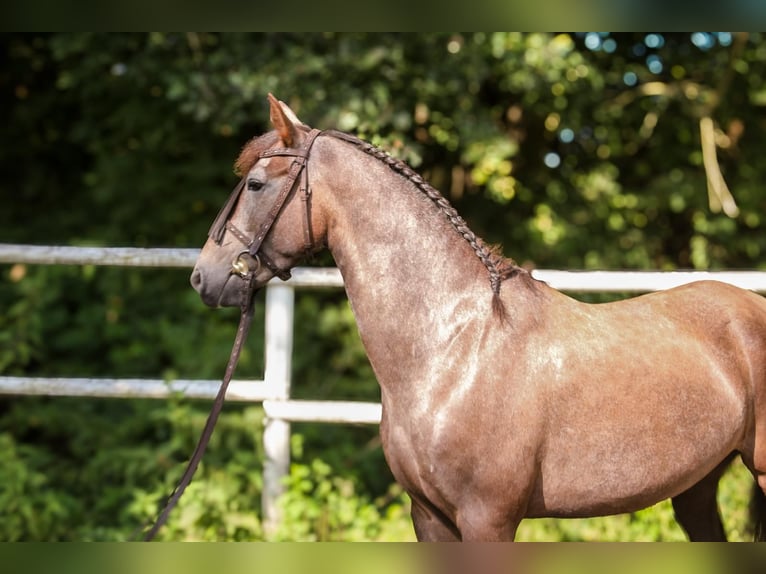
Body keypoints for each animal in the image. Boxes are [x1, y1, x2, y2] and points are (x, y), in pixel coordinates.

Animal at [190, 92, 766, 544]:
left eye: (257, 185)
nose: (203, 276)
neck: (453, 347)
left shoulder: (488, 519)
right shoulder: (430, 517)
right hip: (696, 490)